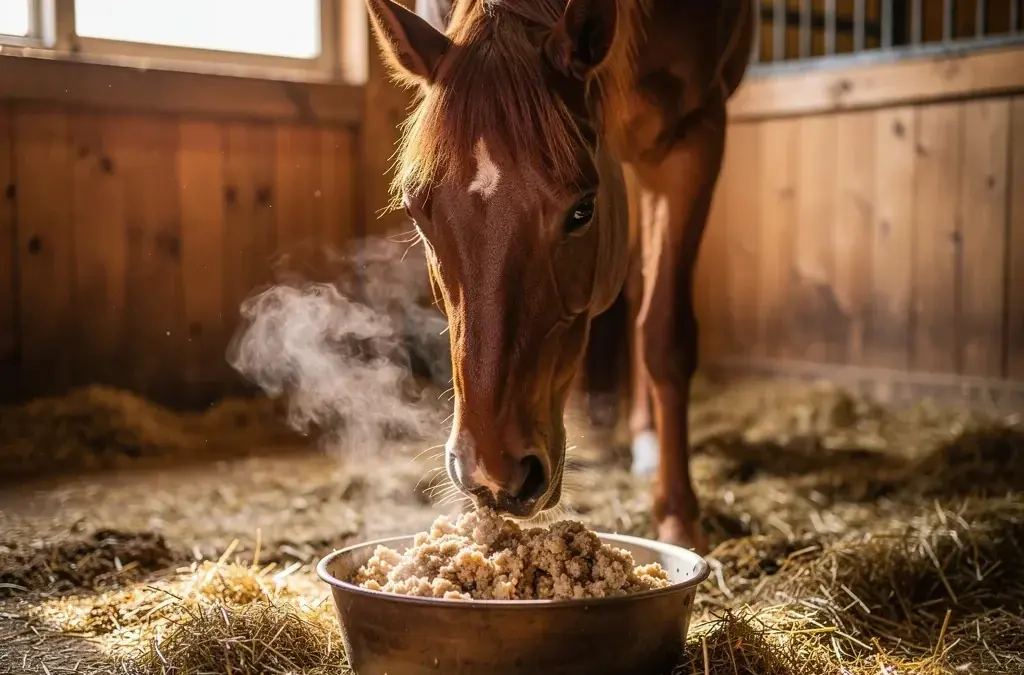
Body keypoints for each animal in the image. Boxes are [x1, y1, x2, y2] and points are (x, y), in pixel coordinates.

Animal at [363, 0, 754, 552]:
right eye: (417, 213)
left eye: (581, 210)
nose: (494, 474)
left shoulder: (693, 135)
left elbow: (666, 338)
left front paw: (678, 517)